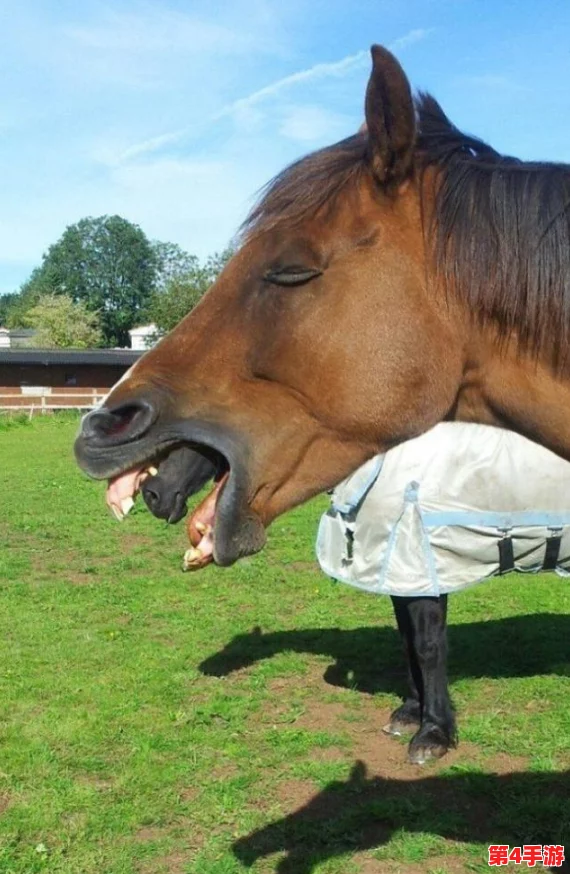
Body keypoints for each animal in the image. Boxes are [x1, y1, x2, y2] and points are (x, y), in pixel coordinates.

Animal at [75, 44, 570, 763]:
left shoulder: (419, 565)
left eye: (292, 269)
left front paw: (433, 732)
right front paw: (412, 713)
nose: (102, 427)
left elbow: (425, 641)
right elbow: (408, 638)